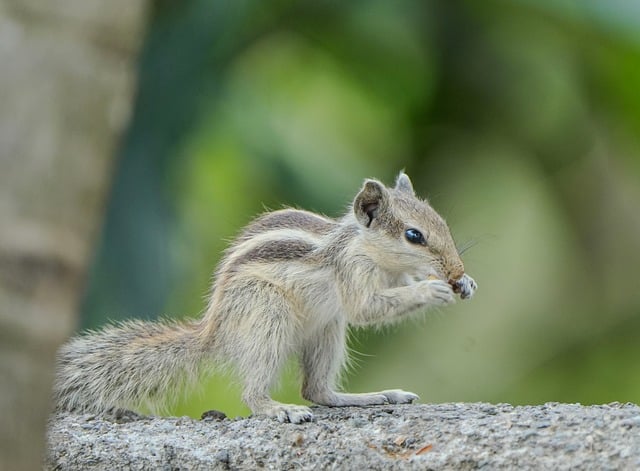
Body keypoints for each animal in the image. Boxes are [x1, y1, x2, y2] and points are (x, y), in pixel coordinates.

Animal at [53, 172, 477, 423]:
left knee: (317, 391)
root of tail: (214, 330)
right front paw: (431, 288)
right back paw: (278, 409)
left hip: (326, 332)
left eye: (443, 223)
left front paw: (464, 284)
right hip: (266, 316)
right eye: (413, 235)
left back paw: (369, 397)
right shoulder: (352, 271)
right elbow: (365, 308)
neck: (369, 250)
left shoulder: (392, 275)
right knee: (256, 391)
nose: (455, 271)